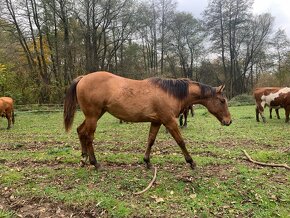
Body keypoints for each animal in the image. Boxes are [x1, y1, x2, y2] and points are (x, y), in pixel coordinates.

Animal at [63, 71, 231, 170]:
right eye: (222, 100)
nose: (228, 121)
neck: (170, 93)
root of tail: (83, 78)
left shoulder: (156, 121)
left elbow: (150, 140)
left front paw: (147, 161)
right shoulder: (169, 121)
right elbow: (180, 141)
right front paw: (191, 162)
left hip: (94, 115)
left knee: (80, 131)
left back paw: (83, 158)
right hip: (93, 116)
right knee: (89, 137)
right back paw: (95, 163)